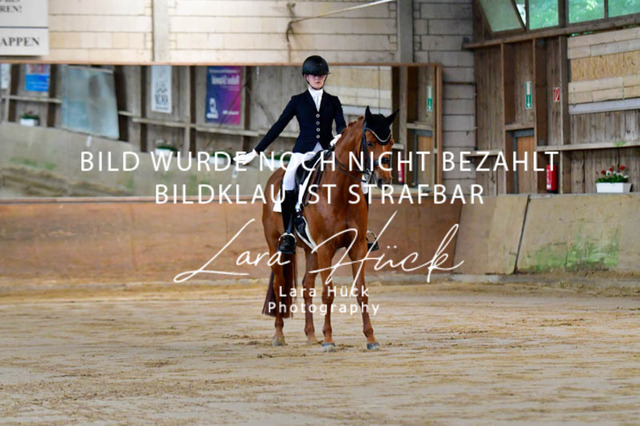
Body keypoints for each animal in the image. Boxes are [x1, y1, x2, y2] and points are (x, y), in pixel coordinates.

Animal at [261, 106, 398, 351]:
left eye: (390, 142)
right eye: (370, 142)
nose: (384, 179)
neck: (340, 189)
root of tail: (274, 177)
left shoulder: (357, 247)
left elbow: (361, 292)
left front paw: (371, 338)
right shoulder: (326, 248)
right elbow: (328, 293)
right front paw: (329, 339)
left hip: (311, 250)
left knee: (306, 286)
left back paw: (310, 335)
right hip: (275, 245)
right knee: (279, 285)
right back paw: (279, 335)